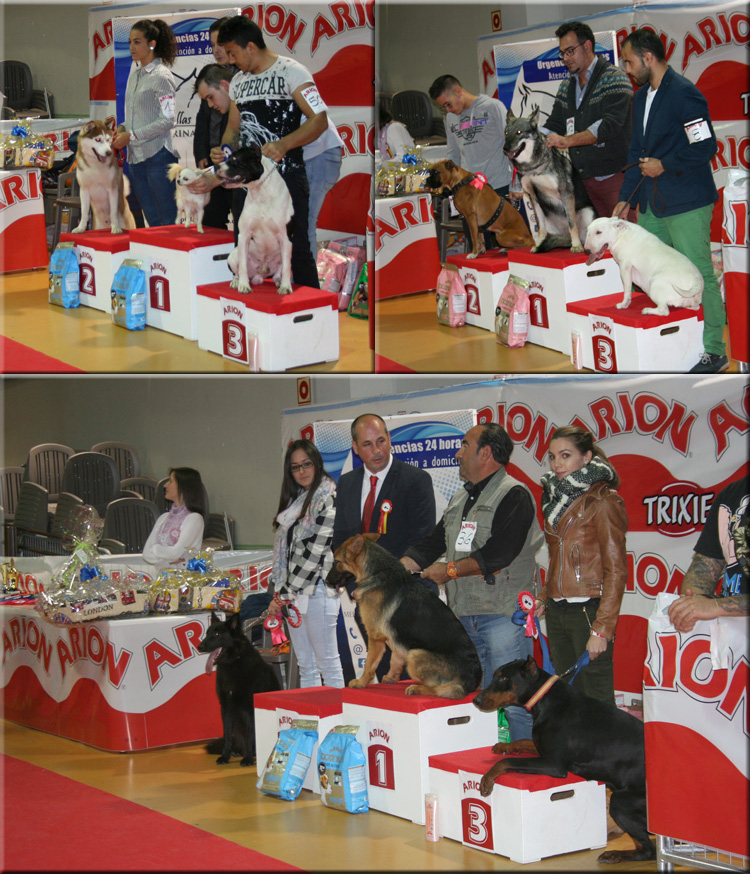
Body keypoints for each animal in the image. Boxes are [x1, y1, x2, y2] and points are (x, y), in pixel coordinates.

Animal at [197, 612, 282, 764]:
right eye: (207, 633)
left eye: (217, 634)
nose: (200, 646)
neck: (233, 662)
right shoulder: (226, 708)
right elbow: (227, 735)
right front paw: (225, 756)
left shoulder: (249, 709)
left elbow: (249, 734)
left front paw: (247, 758)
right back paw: (238, 751)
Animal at [328, 532, 482, 696]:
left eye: (336, 561)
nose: (326, 581)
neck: (378, 572)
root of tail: (471, 683)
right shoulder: (396, 638)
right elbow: (395, 659)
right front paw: (391, 677)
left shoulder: (375, 637)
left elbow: (369, 664)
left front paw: (361, 682)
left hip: (415, 654)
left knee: (441, 689)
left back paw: (418, 688)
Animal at [506, 106, 600, 253]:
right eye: (506, 133)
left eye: (519, 132)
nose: (505, 148)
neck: (532, 168)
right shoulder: (533, 198)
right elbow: (540, 229)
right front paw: (538, 245)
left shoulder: (566, 193)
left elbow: (572, 225)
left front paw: (576, 246)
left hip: (587, 213)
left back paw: (582, 244)